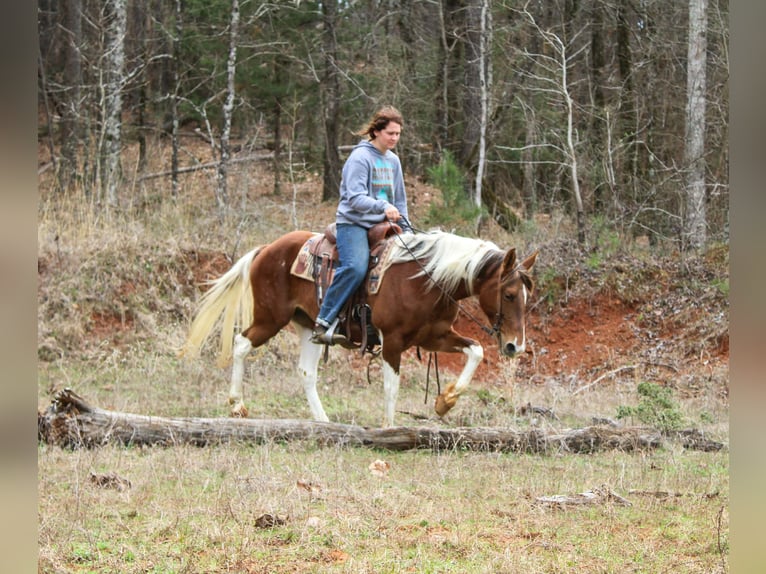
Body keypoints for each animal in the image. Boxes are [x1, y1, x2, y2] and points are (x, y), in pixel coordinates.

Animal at [181, 227, 538, 427]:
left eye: (526, 295)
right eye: (508, 294)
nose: (515, 346)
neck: (425, 280)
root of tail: (266, 249)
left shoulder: (434, 336)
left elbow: (475, 351)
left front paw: (445, 401)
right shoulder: (392, 341)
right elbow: (392, 386)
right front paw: (390, 429)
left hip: (307, 326)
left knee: (306, 372)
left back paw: (323, 421)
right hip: (270, 319)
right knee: (241, 344)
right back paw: (237, 405)